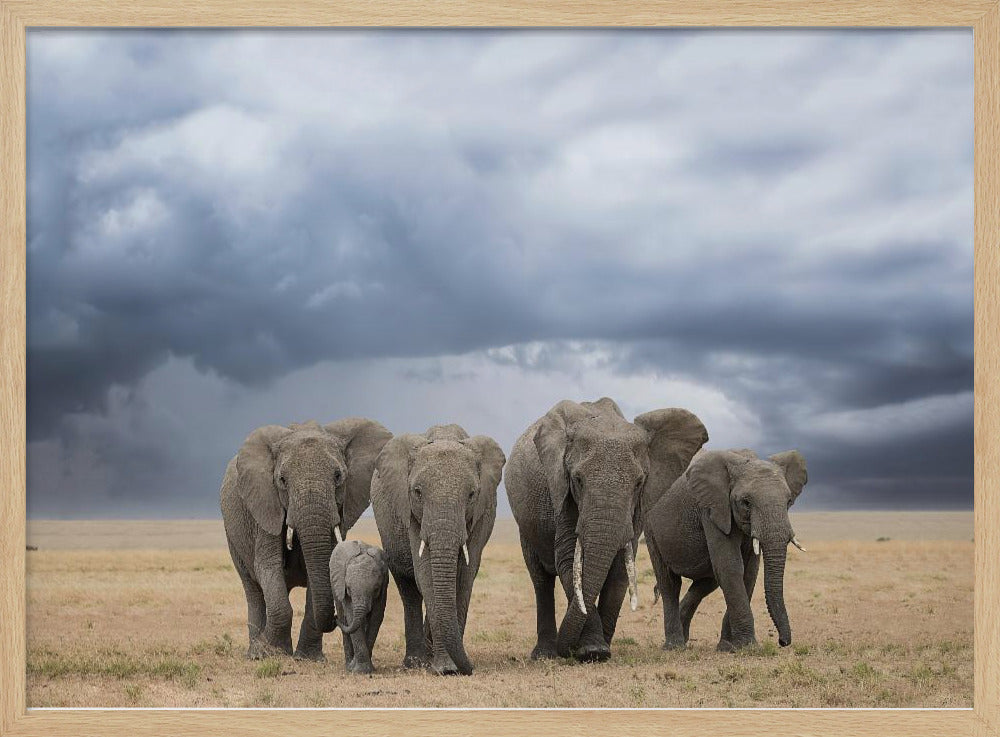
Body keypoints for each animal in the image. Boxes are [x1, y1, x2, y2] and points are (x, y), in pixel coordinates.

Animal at [220, 418, 392, 661]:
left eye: (338, 476)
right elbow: (268, 566)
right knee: (253, 590)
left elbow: (324, 568)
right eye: (282, 480)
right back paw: (255, 653)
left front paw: (307, 658)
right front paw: (269, 652)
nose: (336, 619)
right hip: (233, 535)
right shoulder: (265, 506)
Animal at [330, 539, 390, 674]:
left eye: (376, 589)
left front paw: (364, 669)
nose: (333, 618)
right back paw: (348, 665)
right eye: (348, 589)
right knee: (344, 616)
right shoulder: (344, 591)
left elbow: (376, 618)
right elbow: (351, 617)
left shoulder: (383, 588)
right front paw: (358, 670)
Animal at [370, 424, 505, 675]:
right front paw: (445, 668)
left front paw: (450, 667)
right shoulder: (413, 515)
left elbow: (465, 576)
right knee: (408, 588)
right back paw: (415, 662)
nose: (470, 667)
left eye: (471, 494)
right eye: (417, 492)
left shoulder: (481, 513)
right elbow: (426, 574)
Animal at [505, 398, 708, 662]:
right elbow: (569, 560)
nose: (566, 650)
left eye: (639, 483)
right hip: (526, 524)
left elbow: (620, 565)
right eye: (578, 480)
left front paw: (599, 648)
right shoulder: (561, 494)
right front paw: (593, 650)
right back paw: (544, 655)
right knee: (540, 580)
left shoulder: (637, 508)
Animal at [643, 448, 808, 652]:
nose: (783, 642)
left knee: (706, 583)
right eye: (746, 502)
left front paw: (728, 647)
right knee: (669, 583)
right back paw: (675, 646)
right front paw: (749, 647)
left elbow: (749, 572)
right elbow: (730, 567)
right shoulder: (712, 508)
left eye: (789, 501)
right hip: (650, 529)